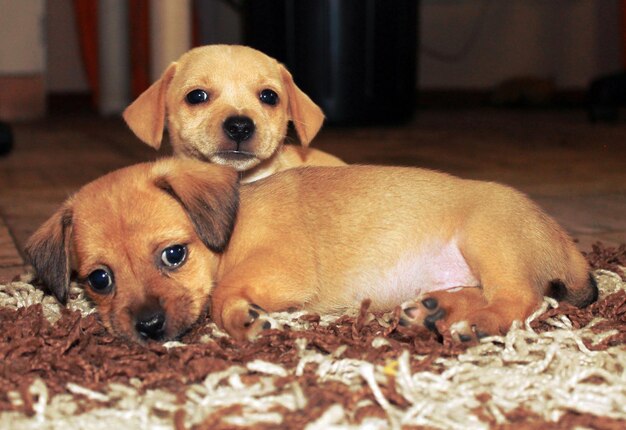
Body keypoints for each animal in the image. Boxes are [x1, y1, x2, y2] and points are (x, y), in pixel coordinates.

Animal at [24, 158, 596, 342]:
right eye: (99, 280)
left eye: (173, 255)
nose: (147, 328)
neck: (229, 233)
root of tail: (558, 235)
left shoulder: (280, 269)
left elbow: (221, 295)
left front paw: (243, 320)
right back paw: (434, 311)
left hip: (487, 240)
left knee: (520, 300)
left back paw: (473, 322)